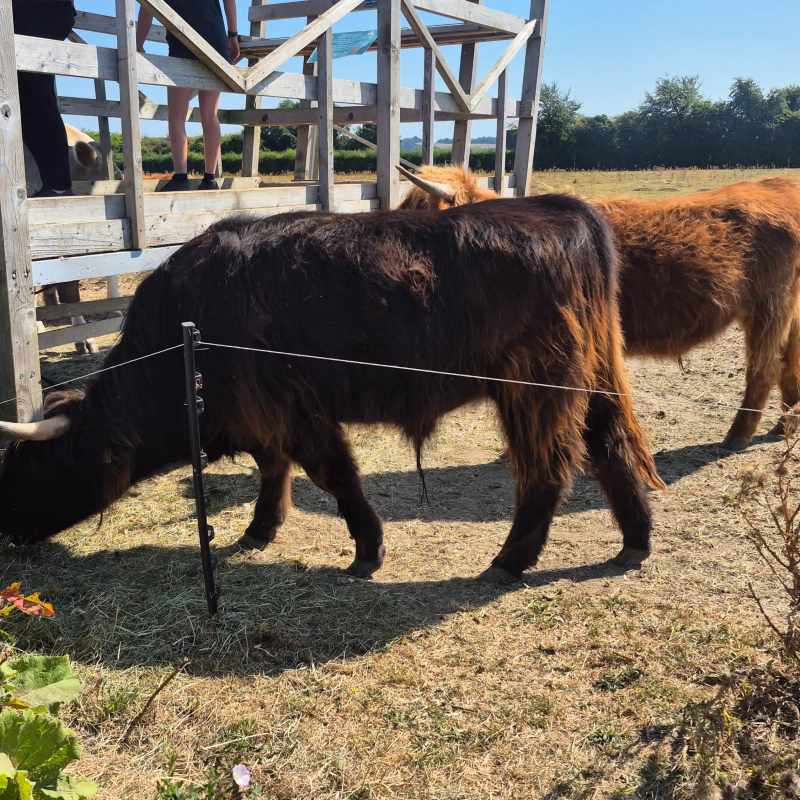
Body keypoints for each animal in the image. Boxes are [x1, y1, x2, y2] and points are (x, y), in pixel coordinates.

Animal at [0, 197, 664, 582]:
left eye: (33, 467)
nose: (8, 533)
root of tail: (561, 207)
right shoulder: (262, 416)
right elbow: (274, 471)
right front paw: (260, 530)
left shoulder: (295, 410)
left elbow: (333, 475)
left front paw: (367, 549)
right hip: (594, 377)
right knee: (611, 448)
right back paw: (635, 542)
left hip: (535, 386)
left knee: (549, 469)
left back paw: (510, 560)